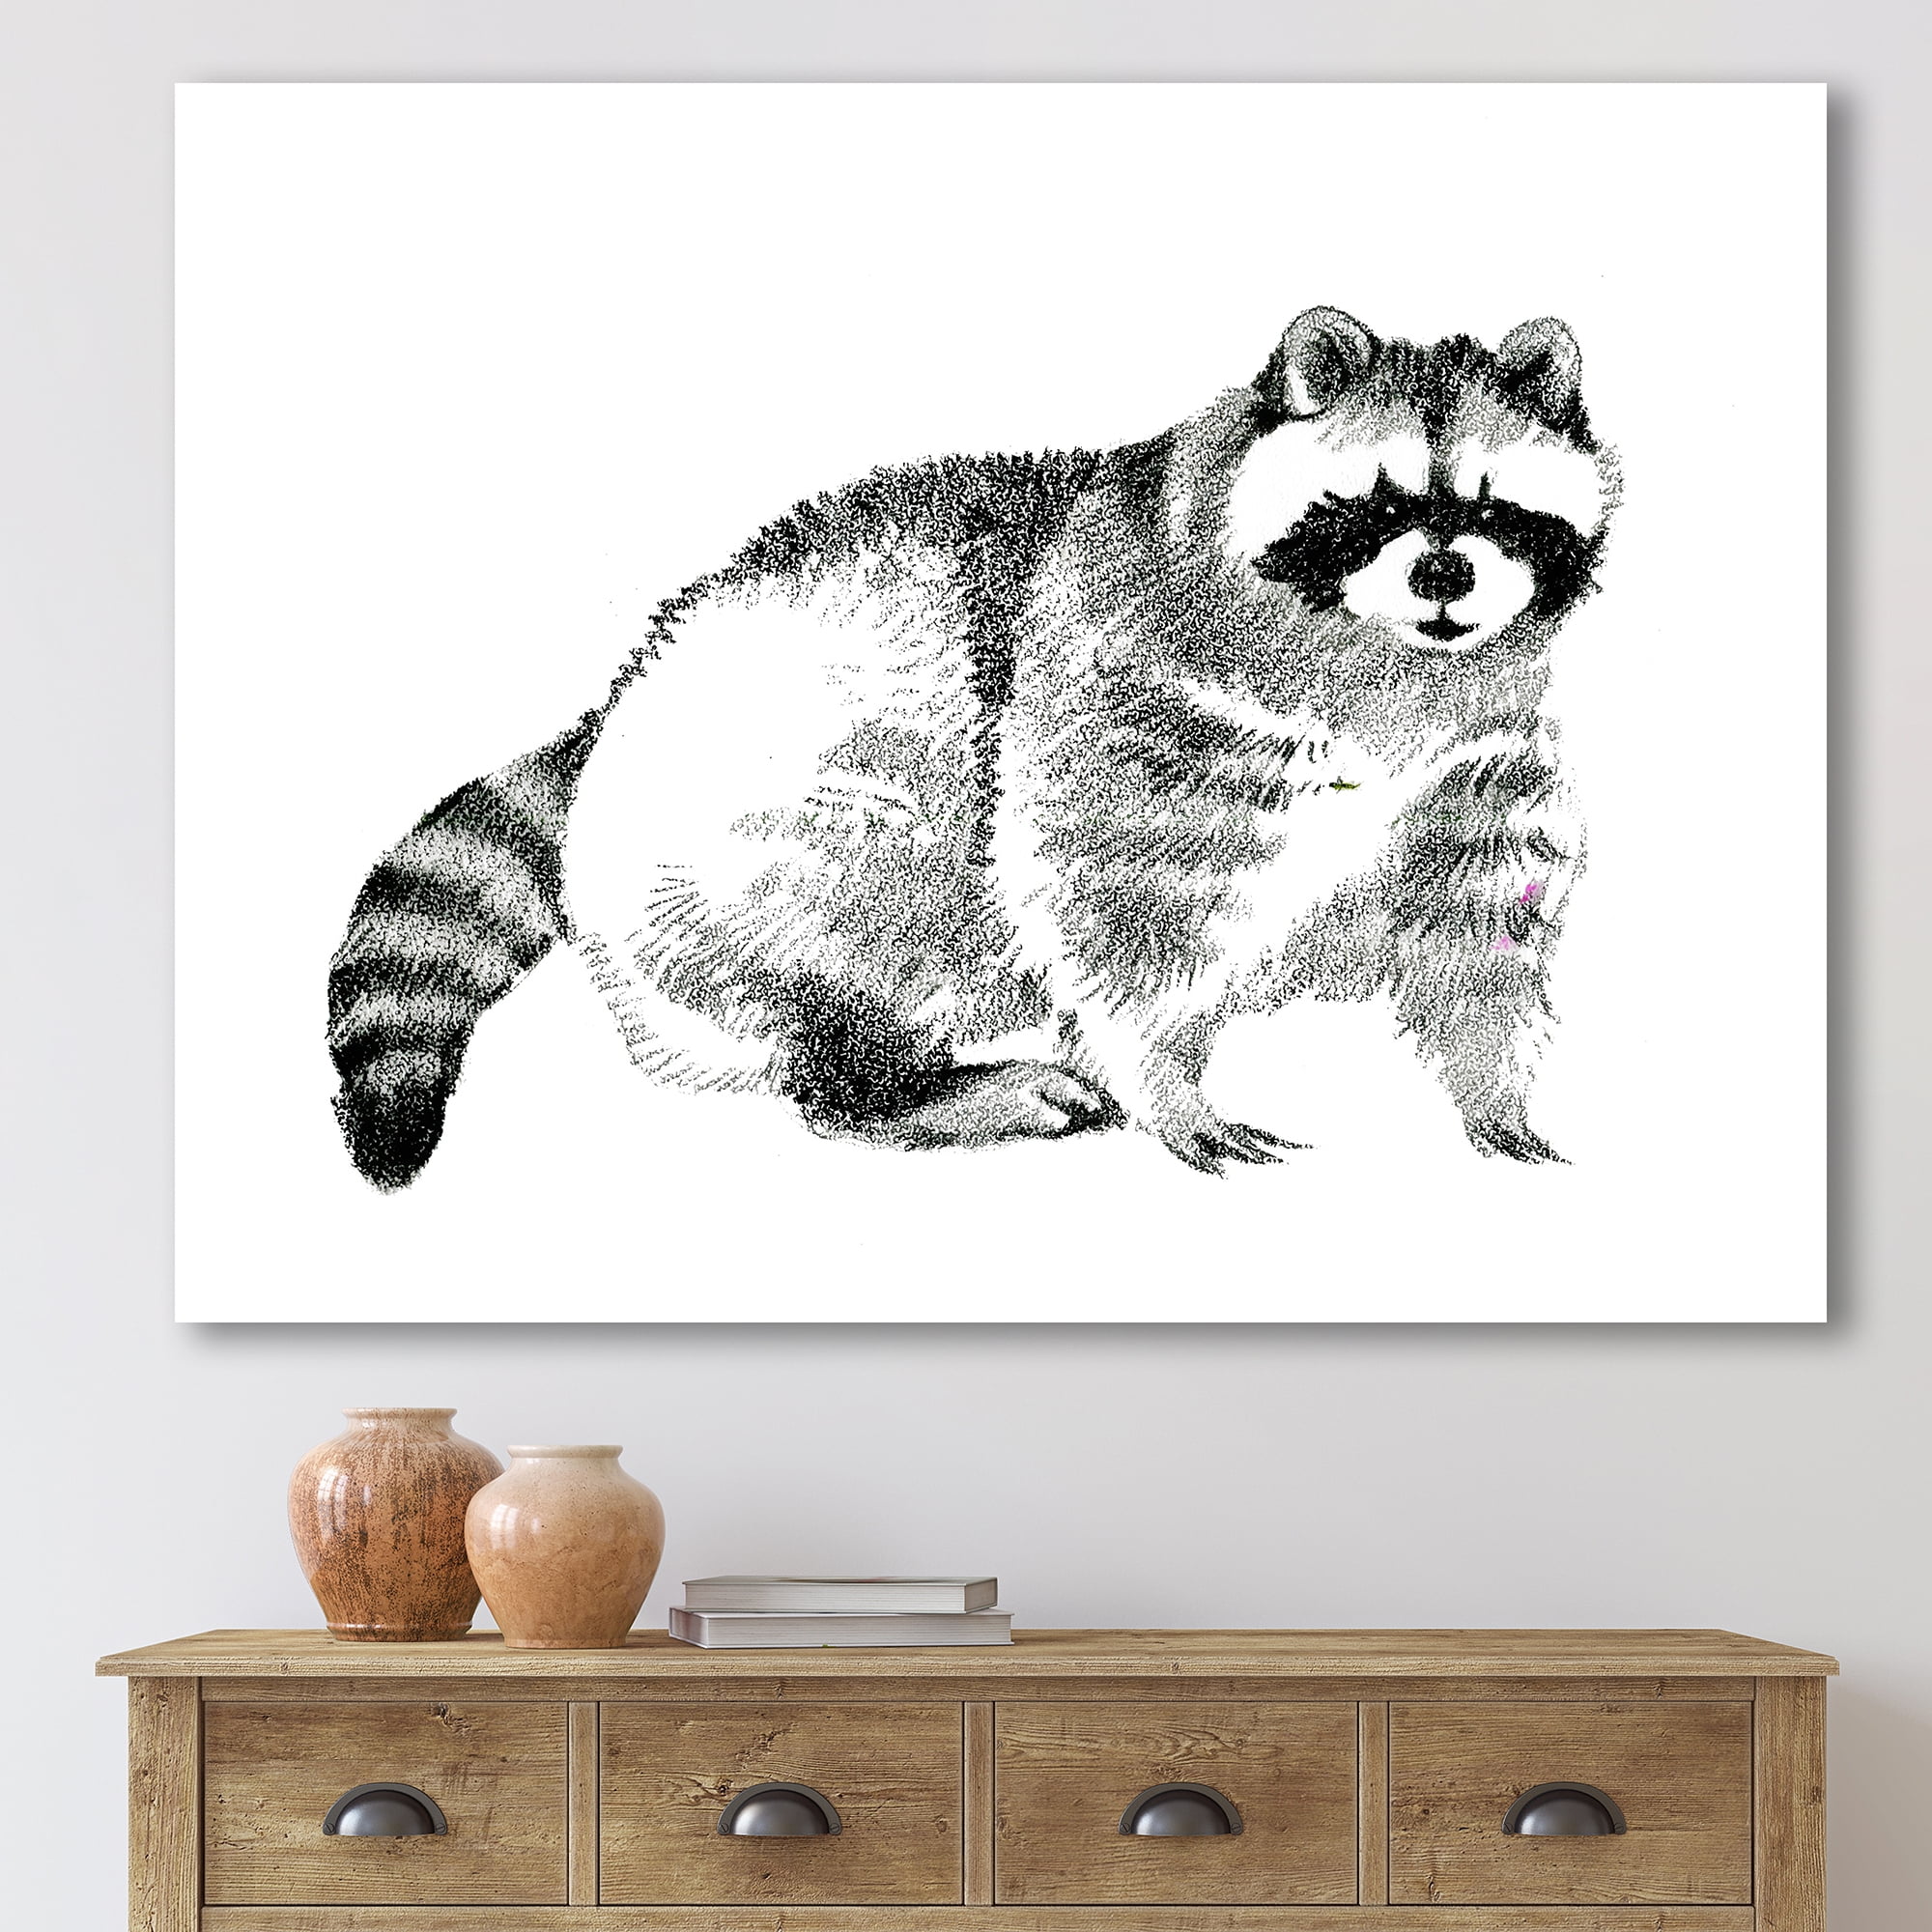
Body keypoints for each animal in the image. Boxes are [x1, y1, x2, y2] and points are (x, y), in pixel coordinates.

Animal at [327, 307, 1618, 1185]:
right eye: (1379, 506)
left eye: (1495, 511)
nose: (1443, 572)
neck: (1385, 662)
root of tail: (621, 706)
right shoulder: (1126, 700)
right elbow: (1112, 914)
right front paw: (1164, 1088)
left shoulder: (1481, 746)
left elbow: (1478, 914)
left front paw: (1494, 1093)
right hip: (779, 837)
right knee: (867, 894)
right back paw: (894, 1087)